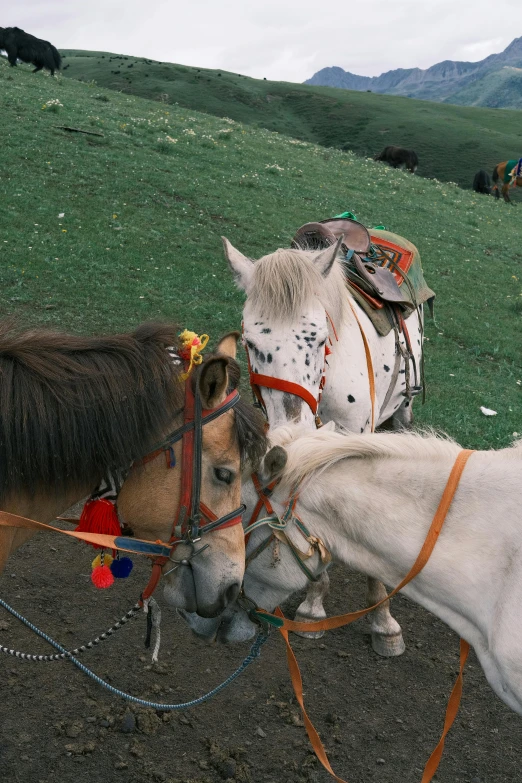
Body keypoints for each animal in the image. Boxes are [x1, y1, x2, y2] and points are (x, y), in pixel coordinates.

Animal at [221, 214, 432, 656]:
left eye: (319, 338)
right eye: (250, 342)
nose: (294, 428)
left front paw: (383, 622)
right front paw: (313, 607)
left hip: (403, 408)